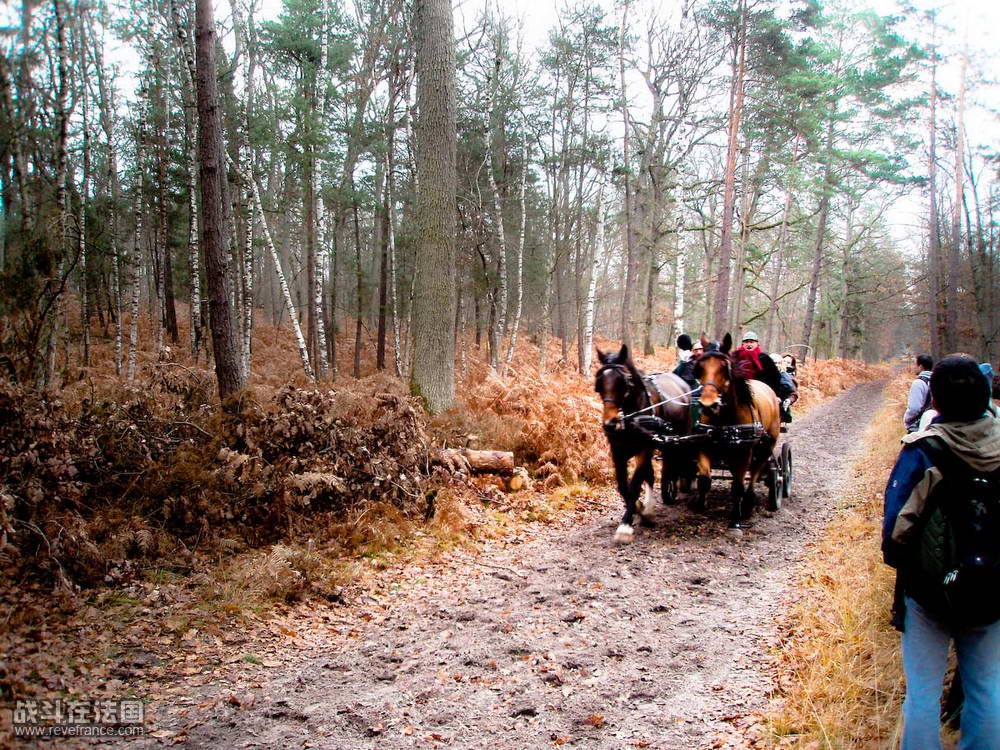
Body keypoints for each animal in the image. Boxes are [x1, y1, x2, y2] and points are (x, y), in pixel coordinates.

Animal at [596, 344, 692, 544]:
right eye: (599, 383)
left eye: (624, 383)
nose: (610, 424)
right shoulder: (618, 451)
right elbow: (623, 486)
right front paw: (640, 510)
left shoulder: (645, 449)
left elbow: (635, 484)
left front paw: (625, 526)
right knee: (652, 475)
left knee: (673, 465)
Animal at [696, 334, 780, 528]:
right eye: (700, 366)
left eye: (724, 367)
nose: (708, 405)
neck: (724, 420)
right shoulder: (704, 446)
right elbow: (704, 480)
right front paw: (699, 505)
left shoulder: (743, 454)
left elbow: (738, 487)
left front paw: (735, 517)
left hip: (765, 447)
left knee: (755, 472)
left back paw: (748, 504)